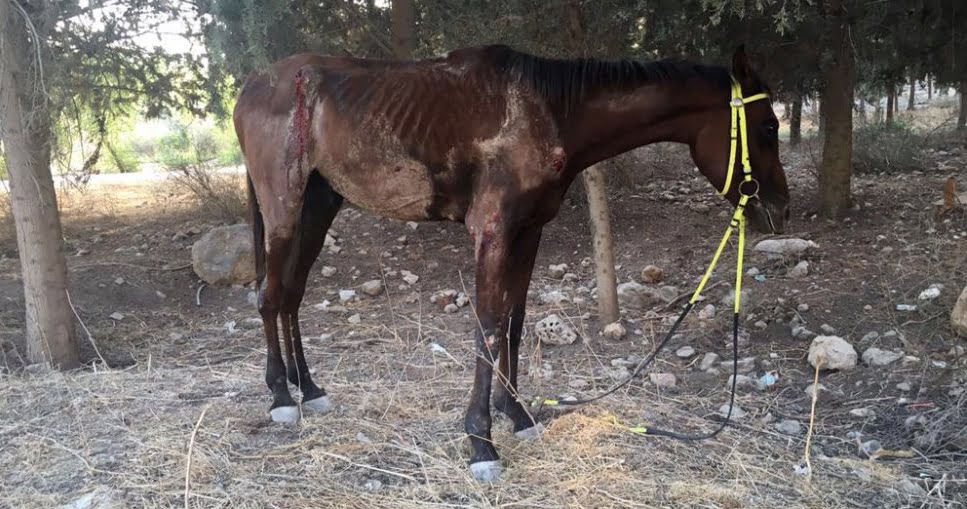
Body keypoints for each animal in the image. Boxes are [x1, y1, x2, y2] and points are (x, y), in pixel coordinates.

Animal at [236, 43, 796, 480]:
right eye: (768, 127)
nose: (779, 210)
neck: (545, 113)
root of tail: (251, 88)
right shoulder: (493, 232)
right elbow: (487, 325)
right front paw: (480, 443)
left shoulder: (528, 233)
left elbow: (513, 321)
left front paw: (518, 414)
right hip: (284, 209)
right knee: (270, 296)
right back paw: (280, 396)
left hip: (318, 204)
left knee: (291, 294)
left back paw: (308, 388)